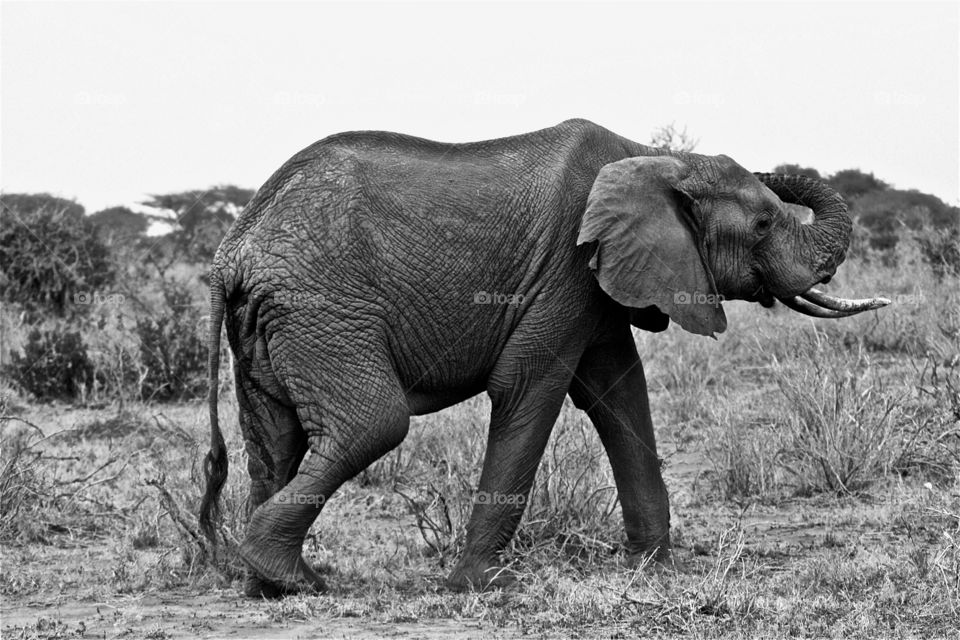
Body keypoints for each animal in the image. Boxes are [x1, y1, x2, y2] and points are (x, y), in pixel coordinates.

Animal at [198, 118, 888, 596]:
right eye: (765, 225)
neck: (651, 157)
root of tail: (234, 250)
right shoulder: (565, 269)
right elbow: (529, 385)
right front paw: (480, 586)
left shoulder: (598, 282)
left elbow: (619, 392)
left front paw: (651, 568)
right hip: (322, 310)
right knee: (374, 424)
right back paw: (296, 580)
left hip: (269, 326)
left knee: (275, 441)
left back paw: (267, 588)